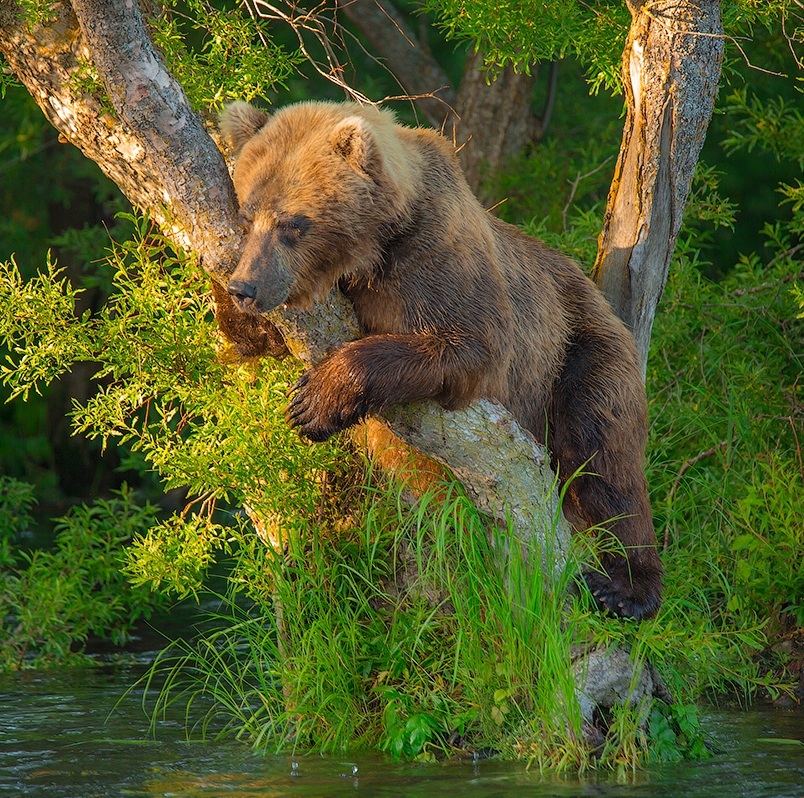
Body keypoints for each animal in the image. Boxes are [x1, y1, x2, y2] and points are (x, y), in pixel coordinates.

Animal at [217, 100, 664, 620]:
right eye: (246, 216)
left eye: (292, 223)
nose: (246, 287)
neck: (370, 254)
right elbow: (252, 340)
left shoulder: (436, 257)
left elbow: (468, 345)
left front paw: (313, 402)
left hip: (579, 346)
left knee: (602, 454)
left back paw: (626, 588)